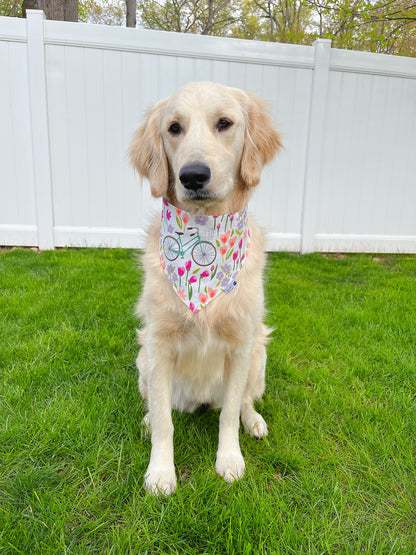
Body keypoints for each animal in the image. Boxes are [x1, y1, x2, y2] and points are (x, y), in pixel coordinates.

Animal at [128, 81, 282, 496]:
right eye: (174, 128)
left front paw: (229, 460)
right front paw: (160, 472)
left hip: (259, 357)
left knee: (243, 402)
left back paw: (254, 420)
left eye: (224, 123)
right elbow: (164, 423)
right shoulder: (159, 345)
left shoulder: (241, 344)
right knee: (156, 407)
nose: (193, 176)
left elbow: (229, 412)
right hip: (143, 360)